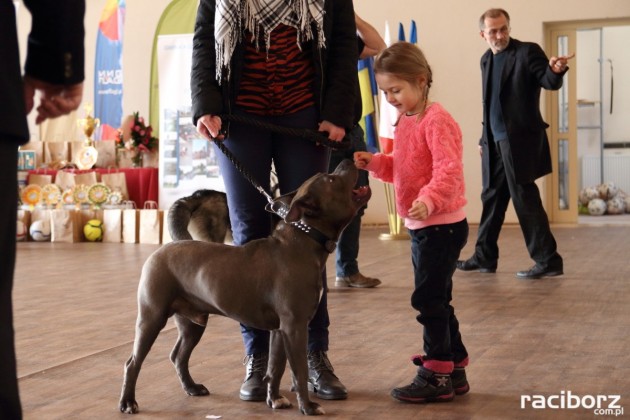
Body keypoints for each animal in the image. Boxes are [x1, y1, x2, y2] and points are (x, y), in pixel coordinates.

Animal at [118, 159, 370, 416]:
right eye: (330, 179)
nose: (347, 160)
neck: (304, 239)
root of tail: (161, 251)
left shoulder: (280, 331)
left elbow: (276, 368)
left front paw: (275, 399)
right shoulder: (295, 327)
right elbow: (299, 370)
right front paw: (307, 407)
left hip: (192, 323)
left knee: (179, 356)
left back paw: (192, 388)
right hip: (152, 318)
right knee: (133, 363)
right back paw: (128, 402)